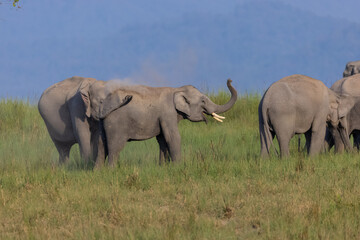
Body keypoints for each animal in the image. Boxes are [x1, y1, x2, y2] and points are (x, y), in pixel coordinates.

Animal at [94, 79, 238, 167]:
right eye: (203, 101)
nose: (229, 80)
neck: (177, 89)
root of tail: (103, 106)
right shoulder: (168, 113)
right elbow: (173, 137)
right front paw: (178, 167)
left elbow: (162, 139)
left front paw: (163, 167)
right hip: (116, 125)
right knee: (115, 148)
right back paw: (111, 170)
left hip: (102, 124)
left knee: (101, 147)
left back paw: (98, 172)